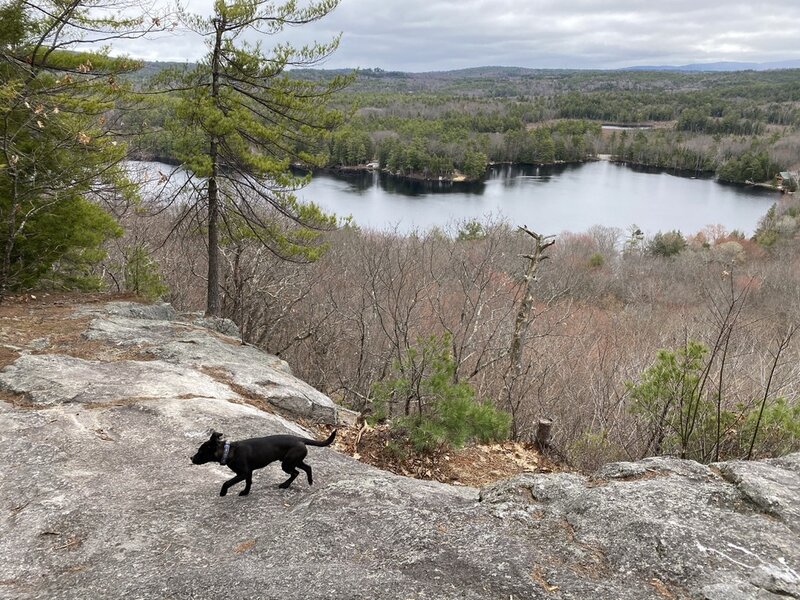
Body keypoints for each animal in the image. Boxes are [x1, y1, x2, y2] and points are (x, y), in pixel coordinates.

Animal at [192, 432, 336, 496]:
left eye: (200, 452)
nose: (191, 458)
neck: (229, 451)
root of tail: (299, 439)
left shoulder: (243, 473)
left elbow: (227, 482)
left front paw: (223, 492)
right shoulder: (248, 473)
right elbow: (249, 483)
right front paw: (245, 492)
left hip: (287, 463)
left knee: (295, 472)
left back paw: (285, 485)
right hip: (294, 461)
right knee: (307, 468)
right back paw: (309, 481)